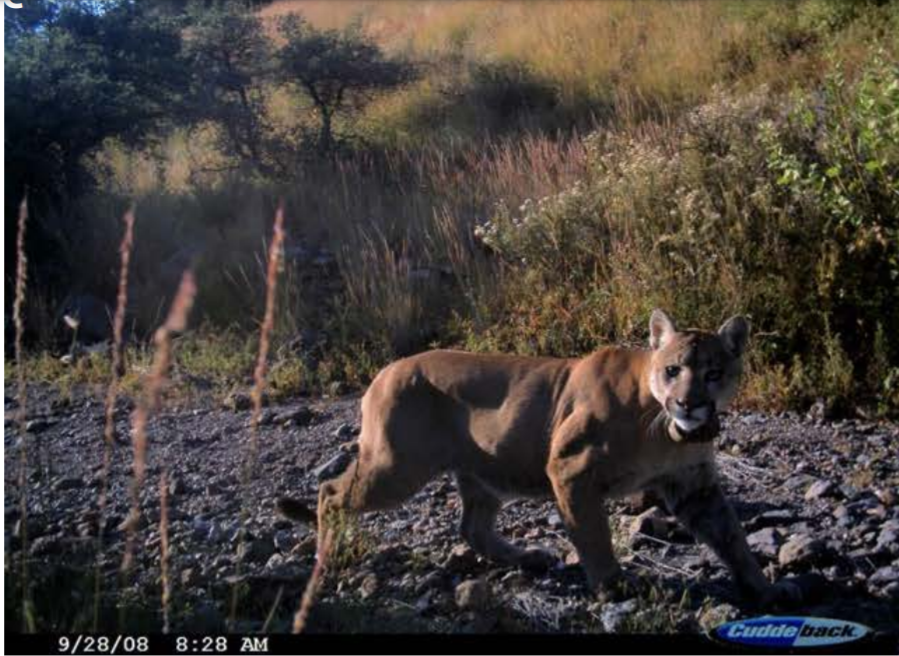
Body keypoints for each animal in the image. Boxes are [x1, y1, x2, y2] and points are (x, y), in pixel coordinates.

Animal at [278, 309, 798, 605]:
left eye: (713, 373)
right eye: (672, 370)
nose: (689, 404)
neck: (666, 431)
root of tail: (387, 369)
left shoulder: (694, 485)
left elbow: (732, 537)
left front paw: (764, 588)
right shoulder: (570, 468)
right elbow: (594, 535)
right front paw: (615, 586)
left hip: (480, 474)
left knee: (472, 527)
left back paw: (527, 557)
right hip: (396, 466)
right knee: (330, 492)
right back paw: (330, 552)